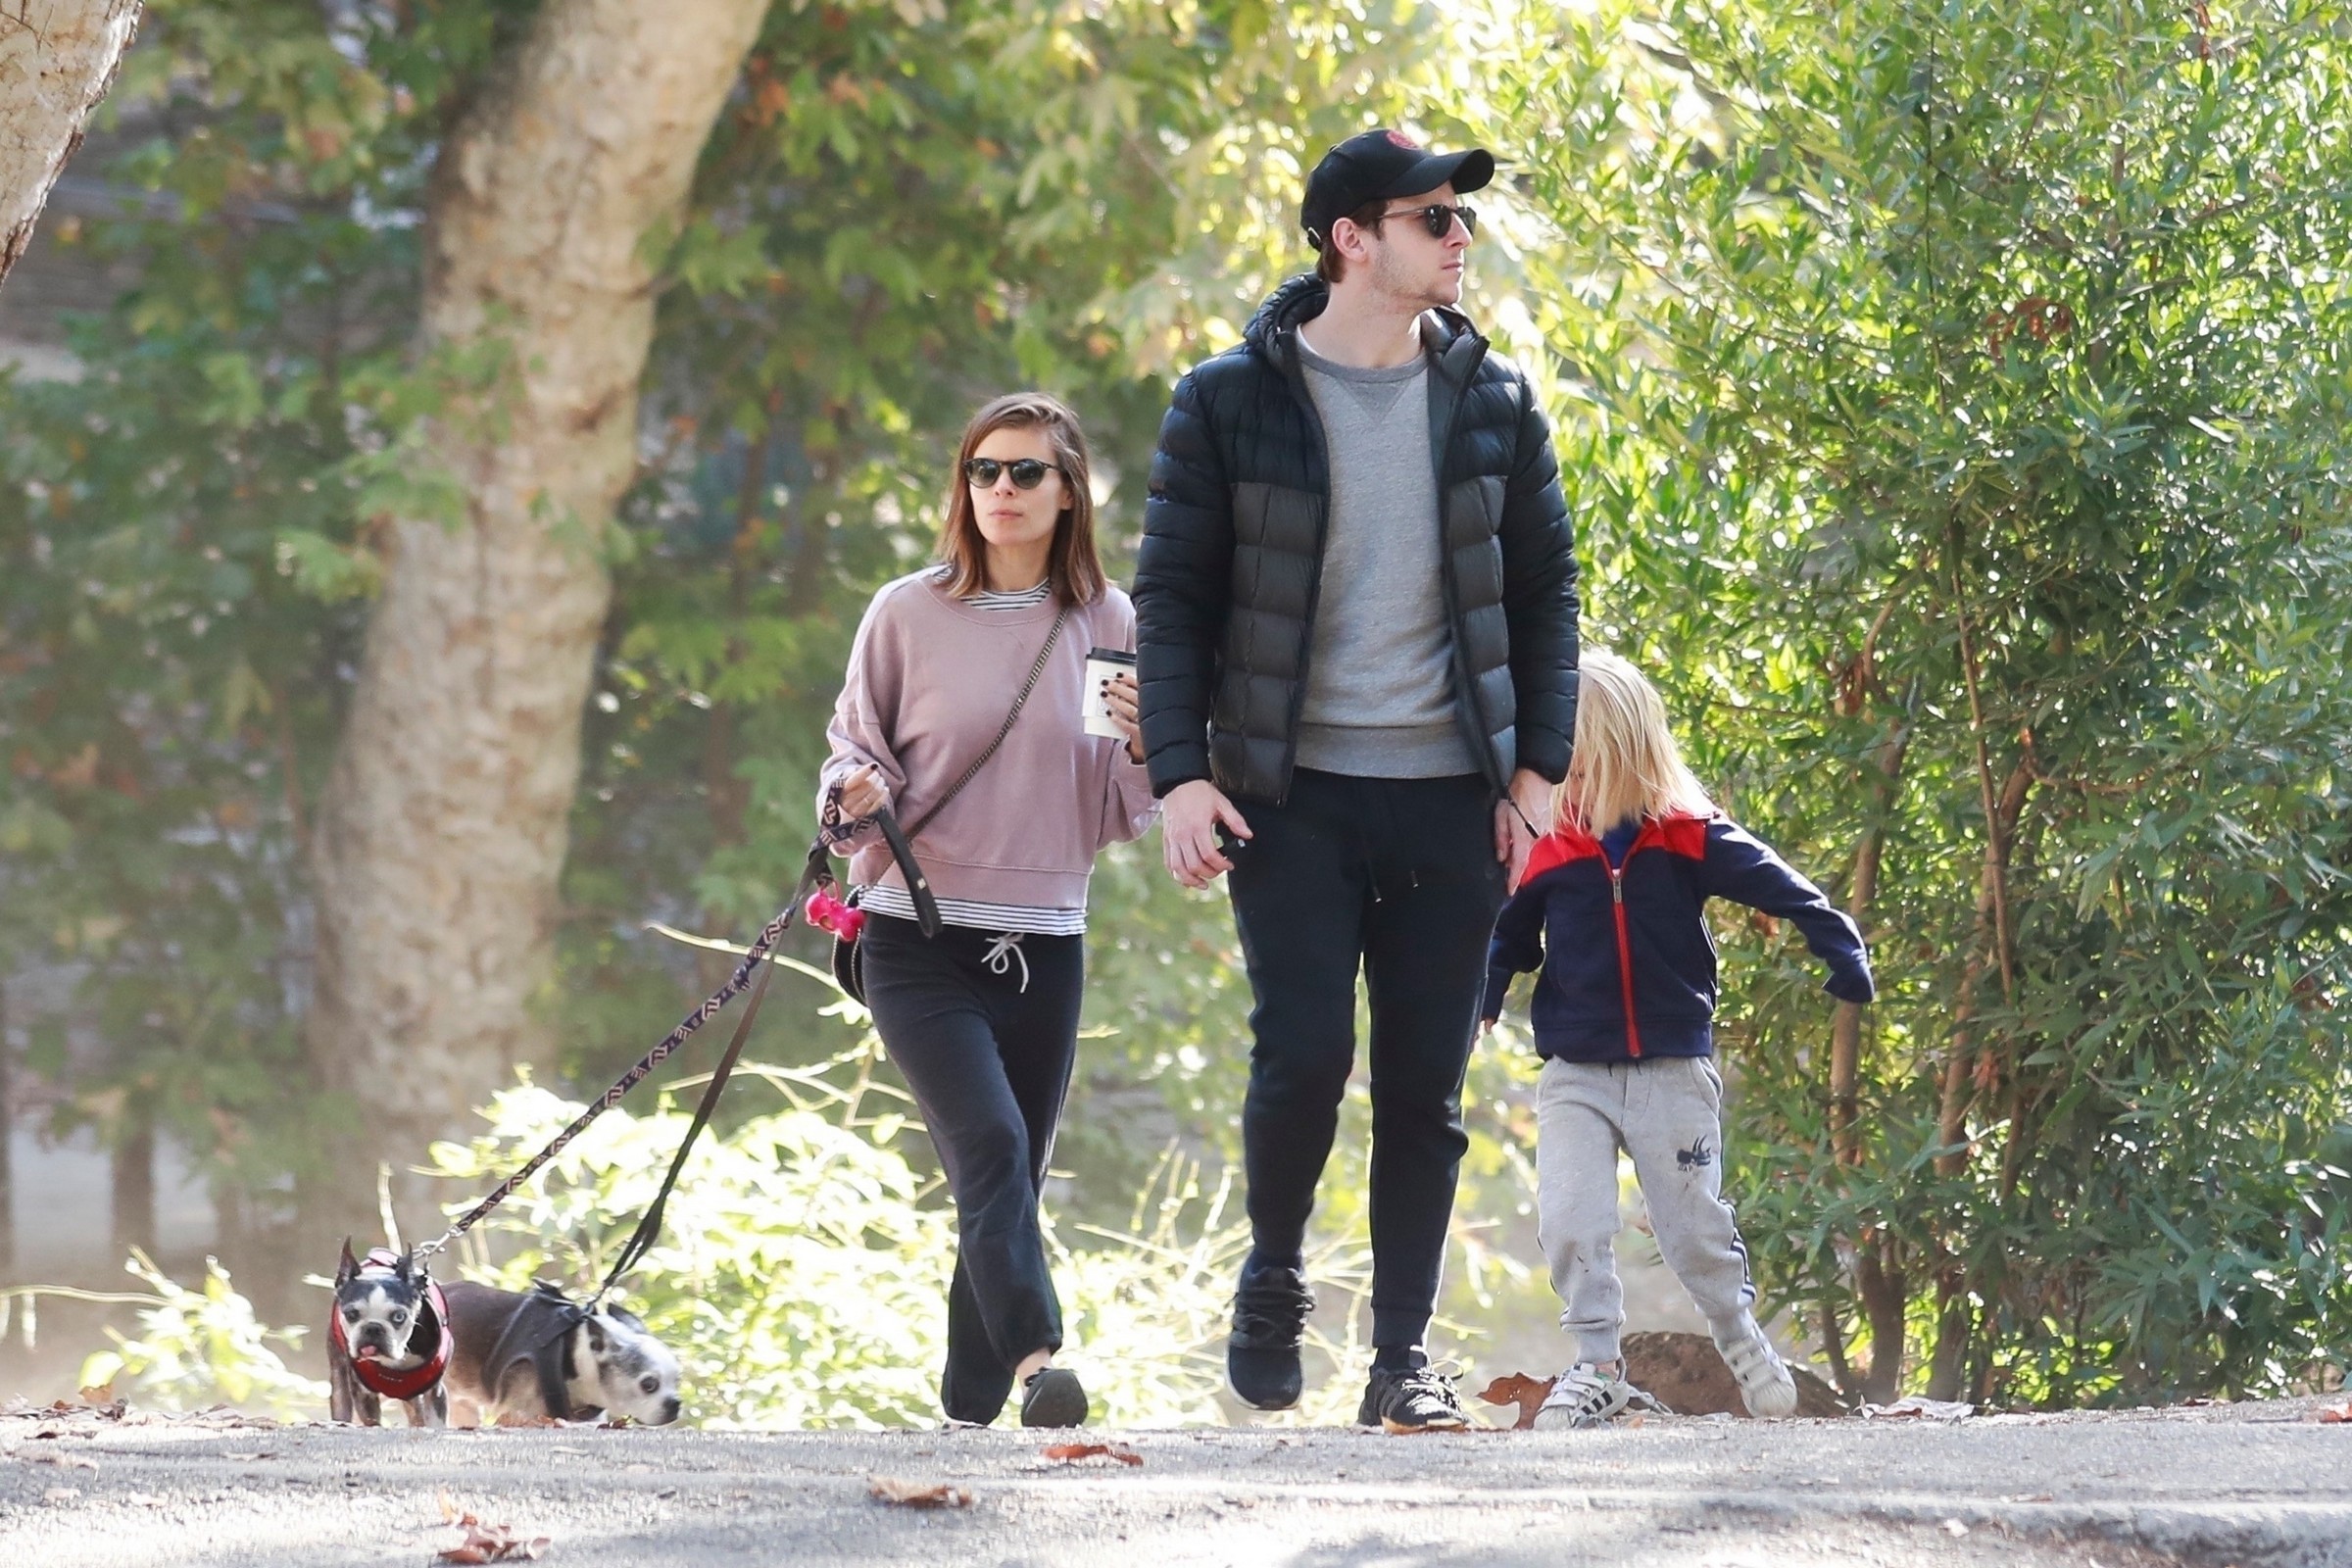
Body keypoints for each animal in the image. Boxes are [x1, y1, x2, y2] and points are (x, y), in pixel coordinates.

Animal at [328, 1240, 451, 1427]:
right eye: (351, 1314)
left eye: (399, 1316)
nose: (373, 1327)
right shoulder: (364, 1393)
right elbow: (372, 1420)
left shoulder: (435, 1392)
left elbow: (435, 1422)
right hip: (339, 1373)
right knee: (340, 1398)